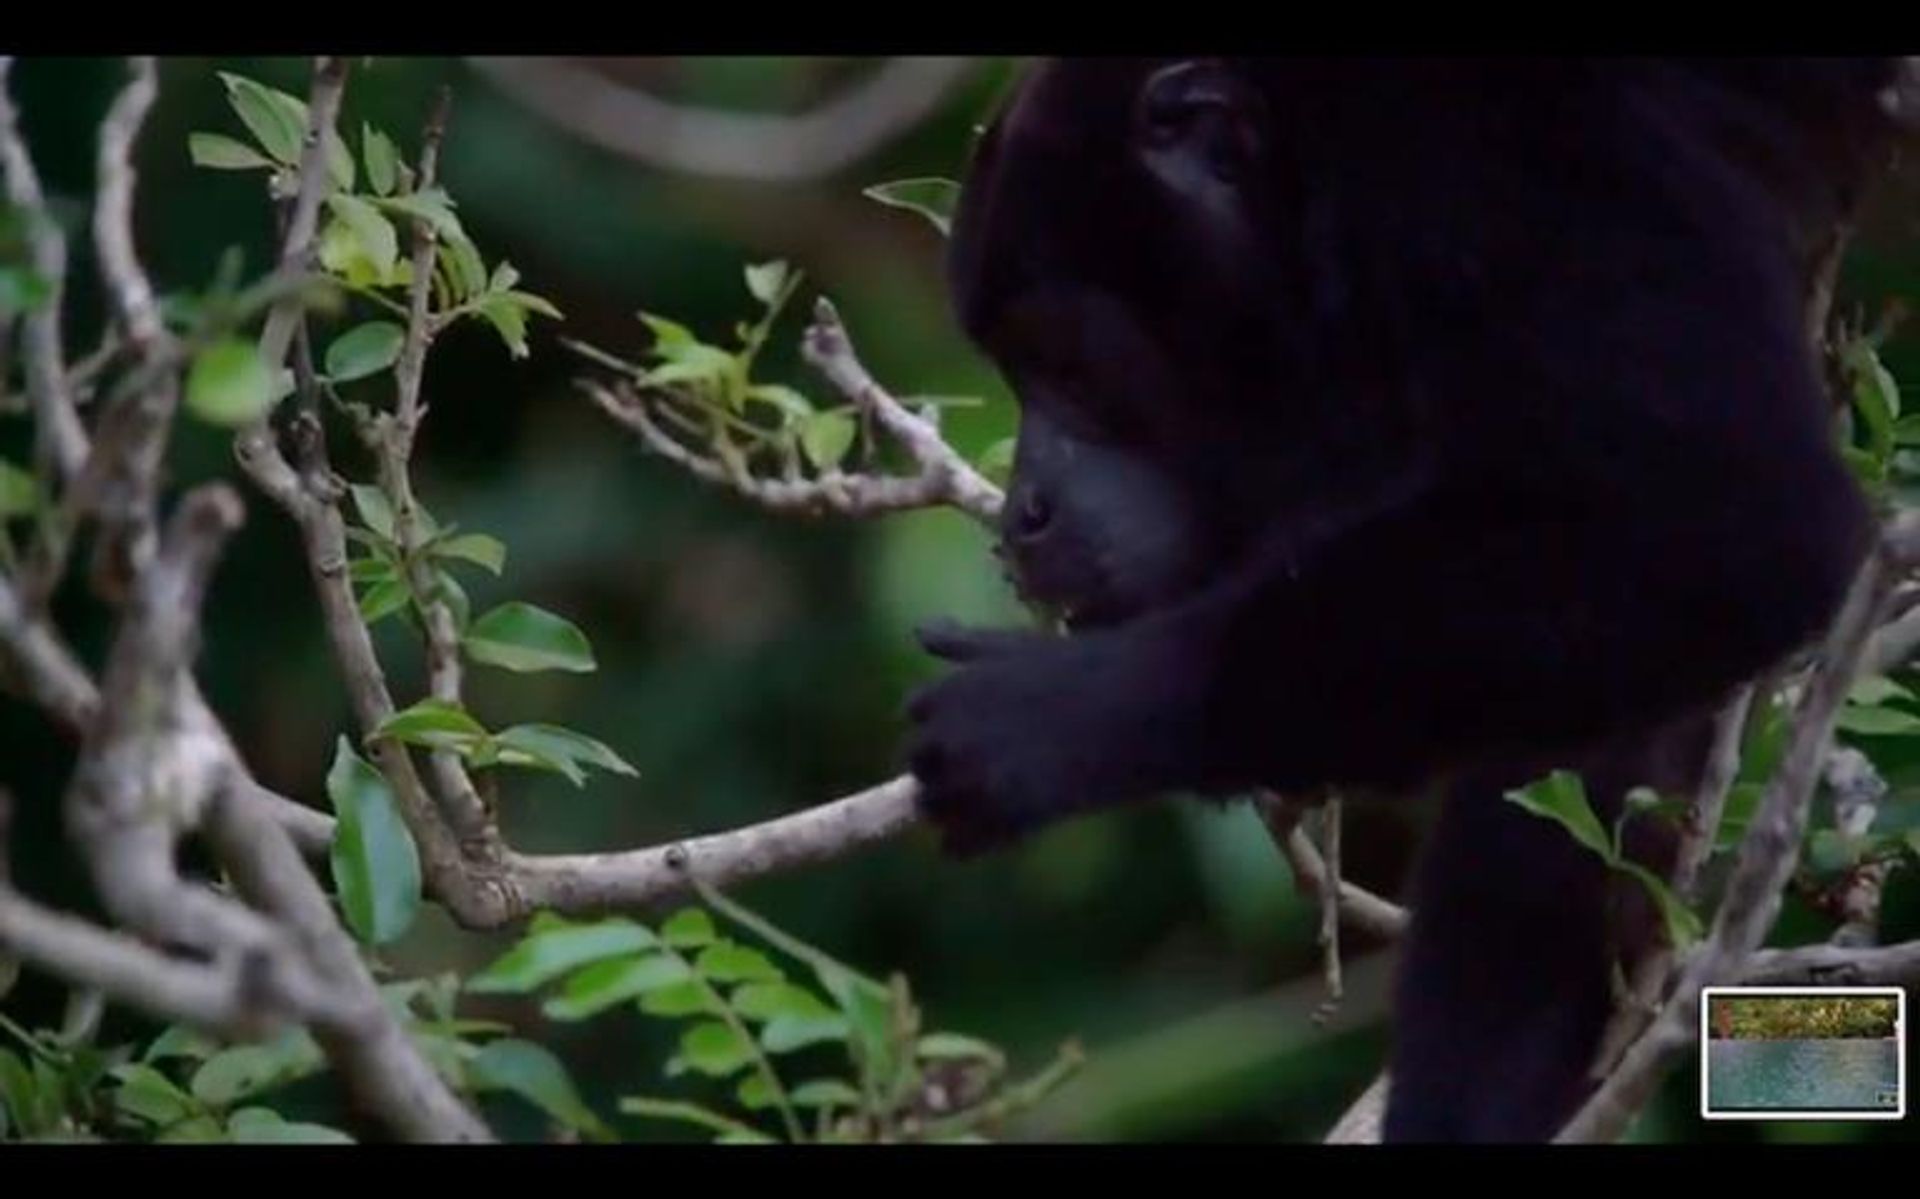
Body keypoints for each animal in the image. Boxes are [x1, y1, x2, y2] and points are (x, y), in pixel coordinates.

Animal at [906, 58, 1912, 1145]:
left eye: (1063, 361)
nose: (1023, 512)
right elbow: (1585, 754)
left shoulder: (1494, 154)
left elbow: (1728, 520)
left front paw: (1055, 716)